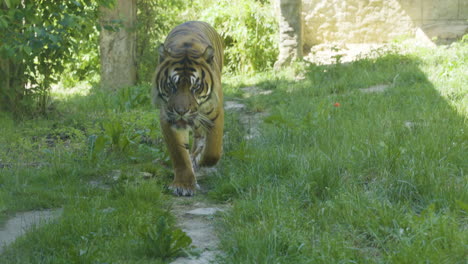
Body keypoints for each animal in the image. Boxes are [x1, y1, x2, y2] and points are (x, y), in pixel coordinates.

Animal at [153, 20, 224, 196]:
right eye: (172, 86)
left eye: (195, 87)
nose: (181, 111)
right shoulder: (168, 119)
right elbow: (179, 154)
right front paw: (183, 184)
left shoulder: (215, 113)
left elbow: (213, 152)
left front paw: (201, 160)